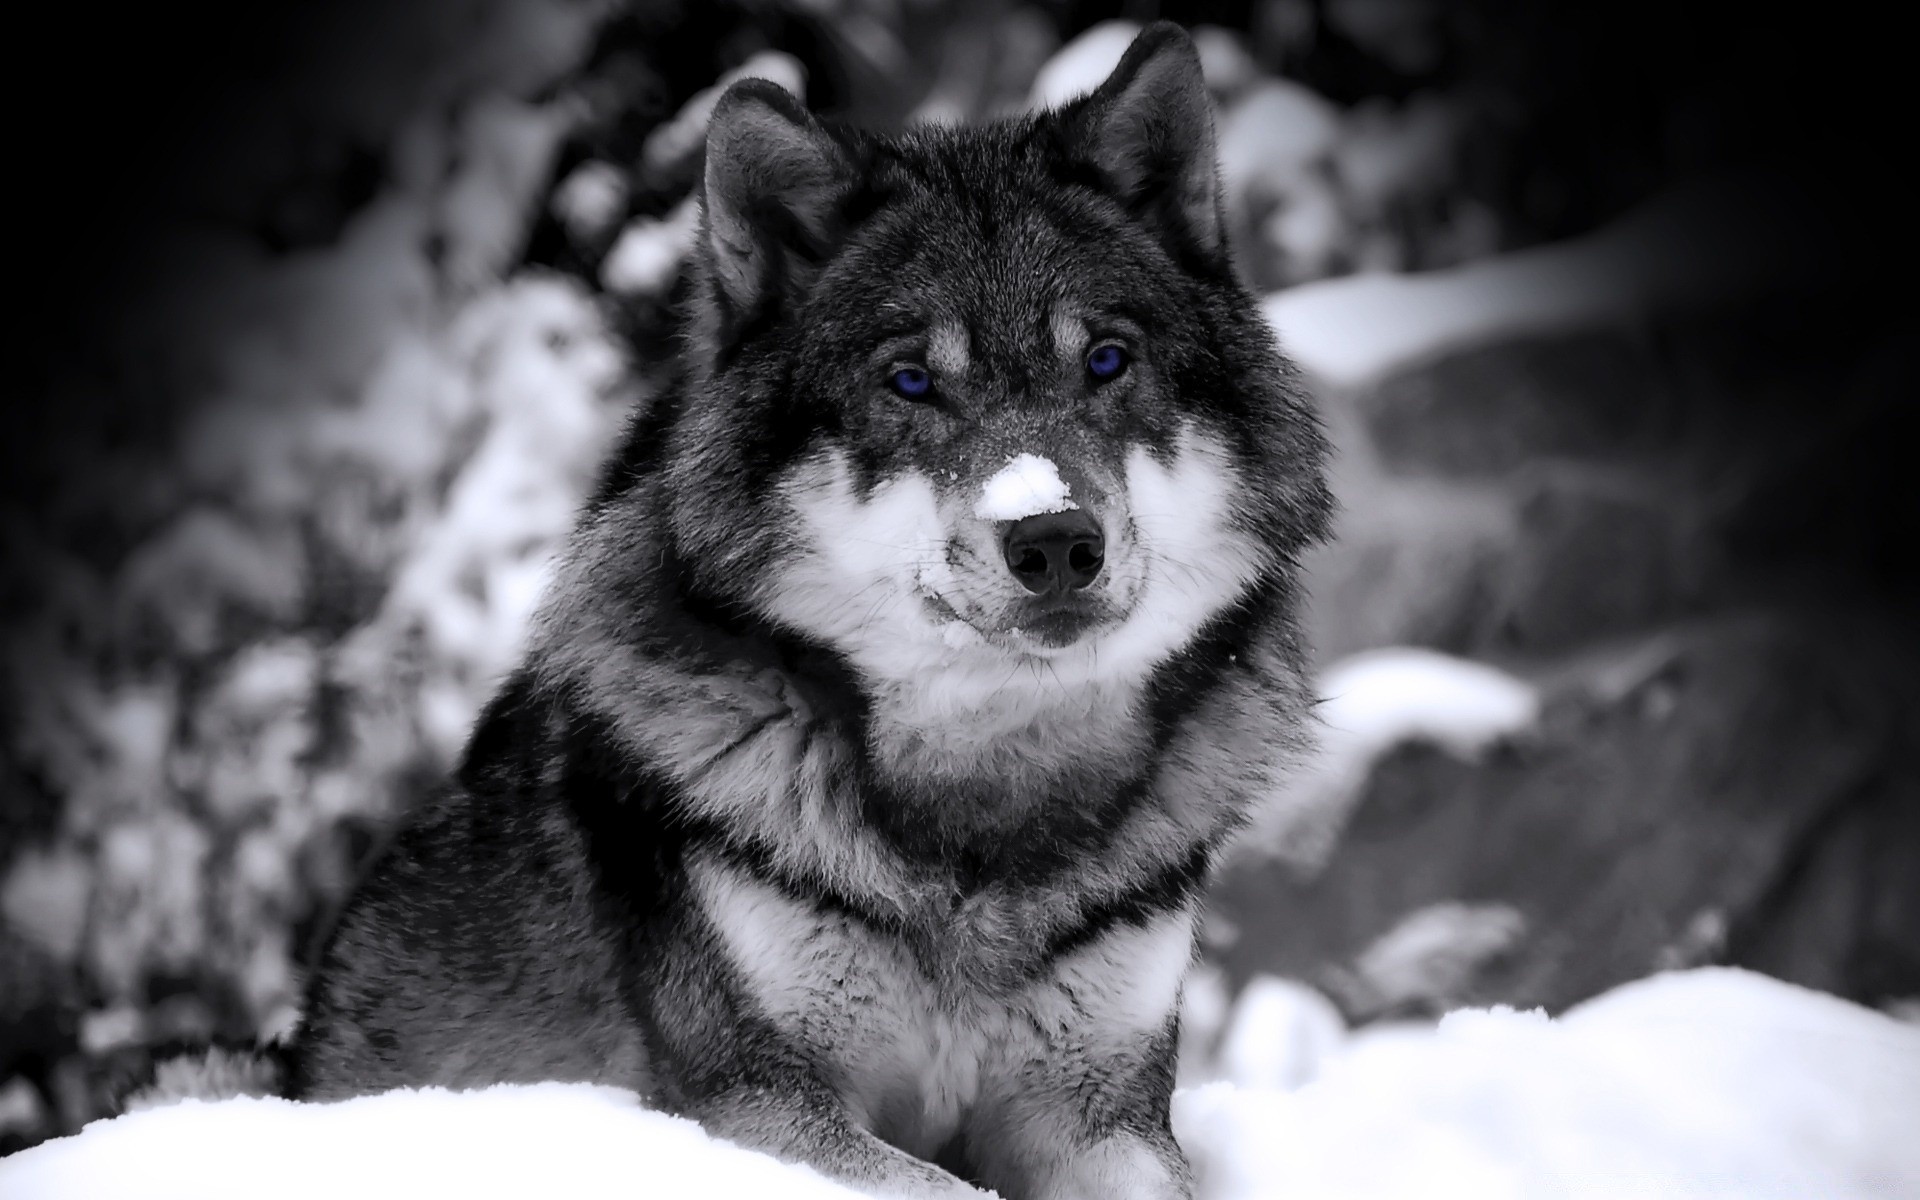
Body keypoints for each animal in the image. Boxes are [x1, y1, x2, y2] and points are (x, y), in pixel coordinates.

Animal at [266, 21, 1336, 1198]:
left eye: (1106, 361)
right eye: (911, 382)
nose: (1053, 539)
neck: (983, 815)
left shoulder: (1104, 1113)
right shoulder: (756, 1103)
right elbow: (944, 1188)